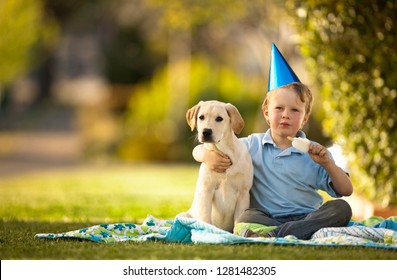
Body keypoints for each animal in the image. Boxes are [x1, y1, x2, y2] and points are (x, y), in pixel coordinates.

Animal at [177, 100, 254, 232]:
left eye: (219, 118)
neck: (225, 153)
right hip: (183, 215)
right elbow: (205, 219)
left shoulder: (243, 194)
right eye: (201, 117)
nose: (206, 132)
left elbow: (238, 223)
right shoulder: (206, 191)